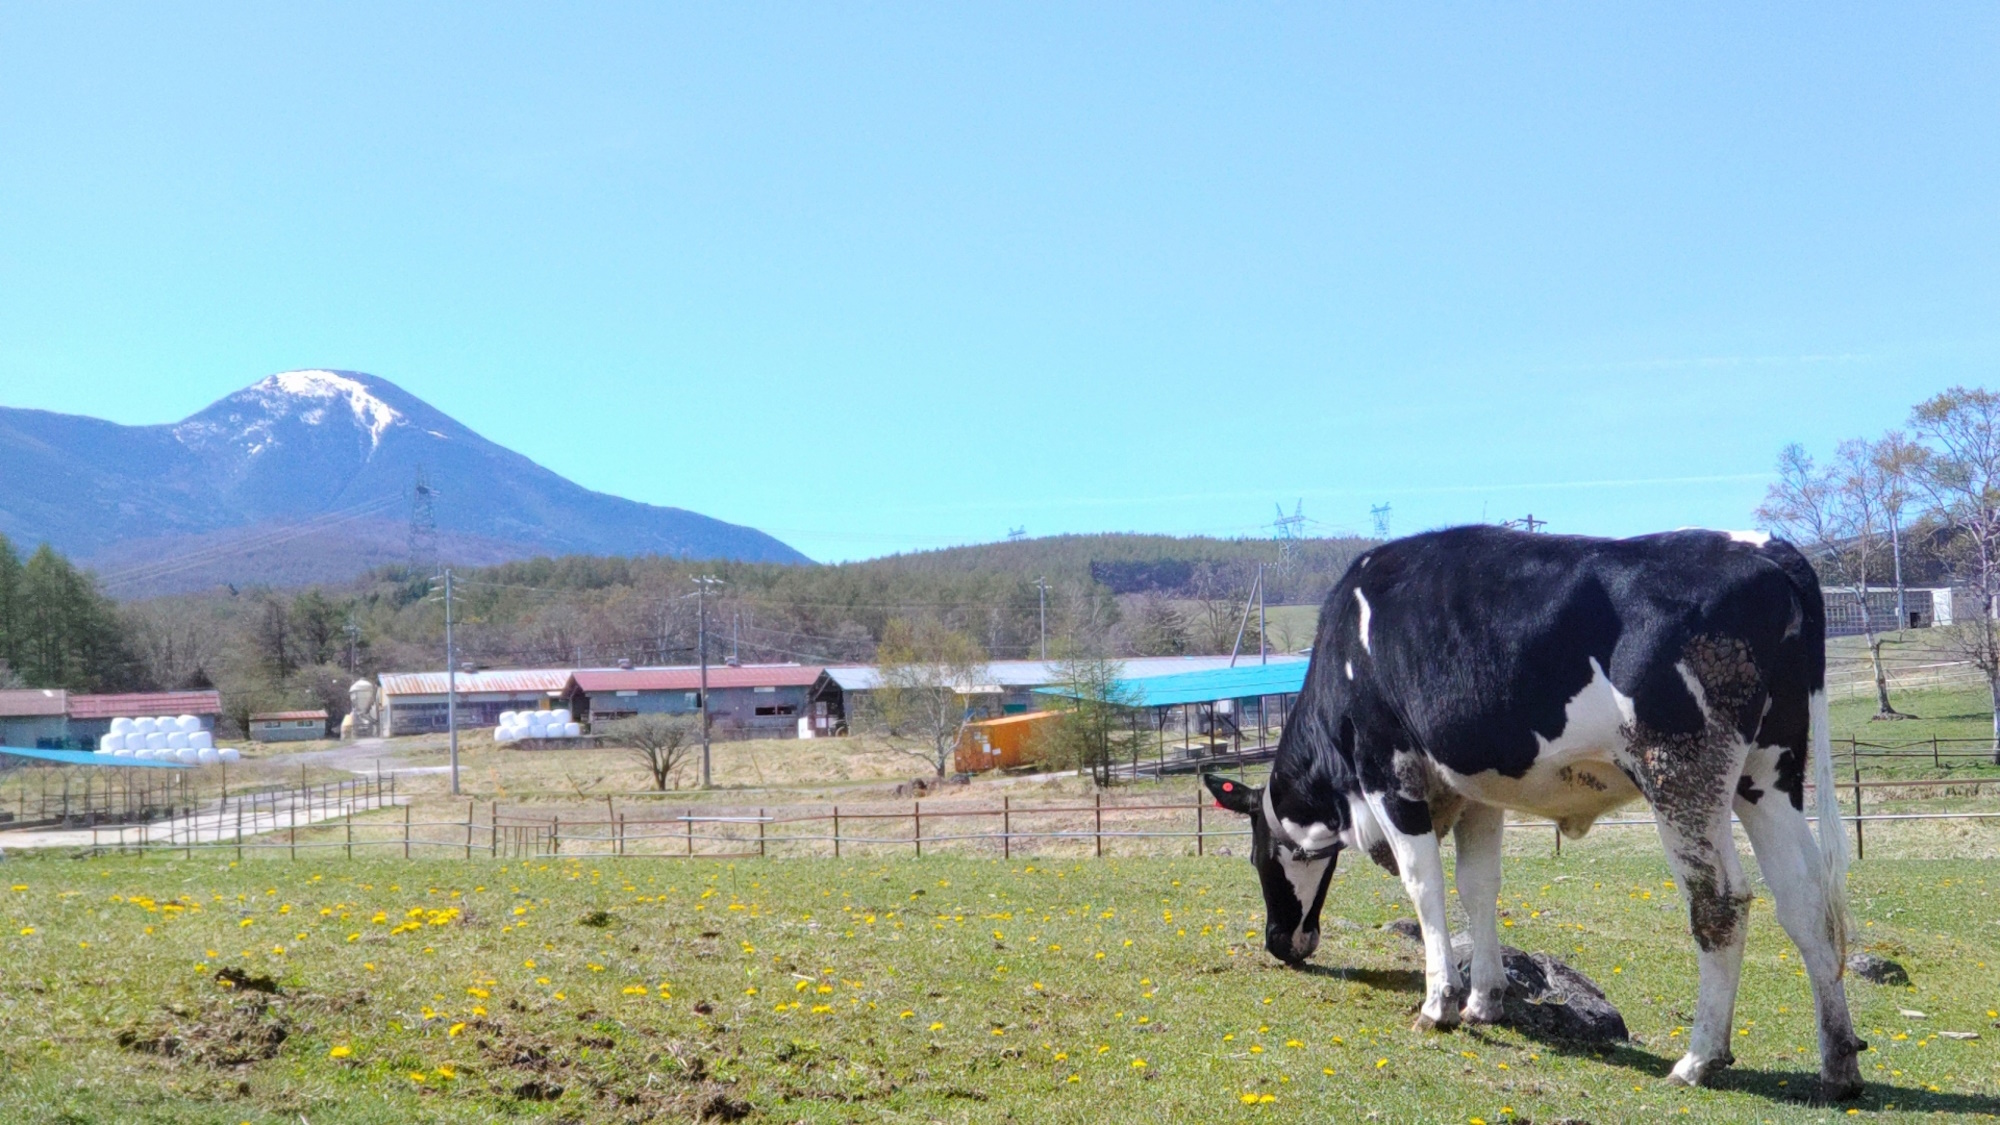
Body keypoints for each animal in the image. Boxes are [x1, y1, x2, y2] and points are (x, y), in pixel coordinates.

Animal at [1208, 524, 1864, 1096]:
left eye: (1257, 858)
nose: (1277, 942)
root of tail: (1762, 546)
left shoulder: (1388, 770)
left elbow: (1426, 886)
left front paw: (1438, 1004)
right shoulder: (1476, 789)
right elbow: (1477, 885)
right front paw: (1484, 1000)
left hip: (1681, 772)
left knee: (1721, 902)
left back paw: (1699, 1057)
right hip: (1767, 774)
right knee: (1806, 900)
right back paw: (1838, 1064)